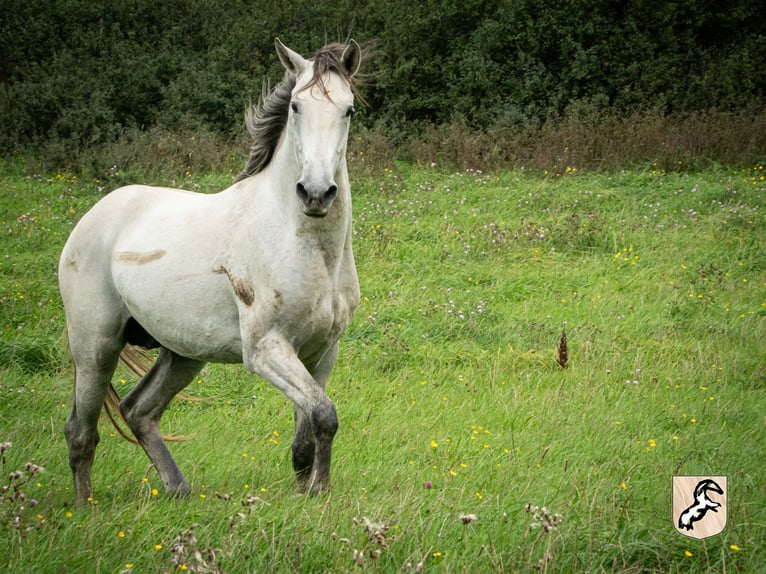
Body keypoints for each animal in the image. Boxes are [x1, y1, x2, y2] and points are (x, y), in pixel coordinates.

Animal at [58, 39, 364, 504]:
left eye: (348, 110)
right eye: (296, 105)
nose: (315, 192)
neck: (304, 245)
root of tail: (95, 215)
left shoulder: (321, 352)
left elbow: (307, 432)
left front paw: (305, 493)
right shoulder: (266, 350)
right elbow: (325, 416)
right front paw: (317, 493)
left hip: (182, 353)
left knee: (138, 410)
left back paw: (178, 491)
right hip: (95, 347)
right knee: (81, 432)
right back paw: (84, 508)